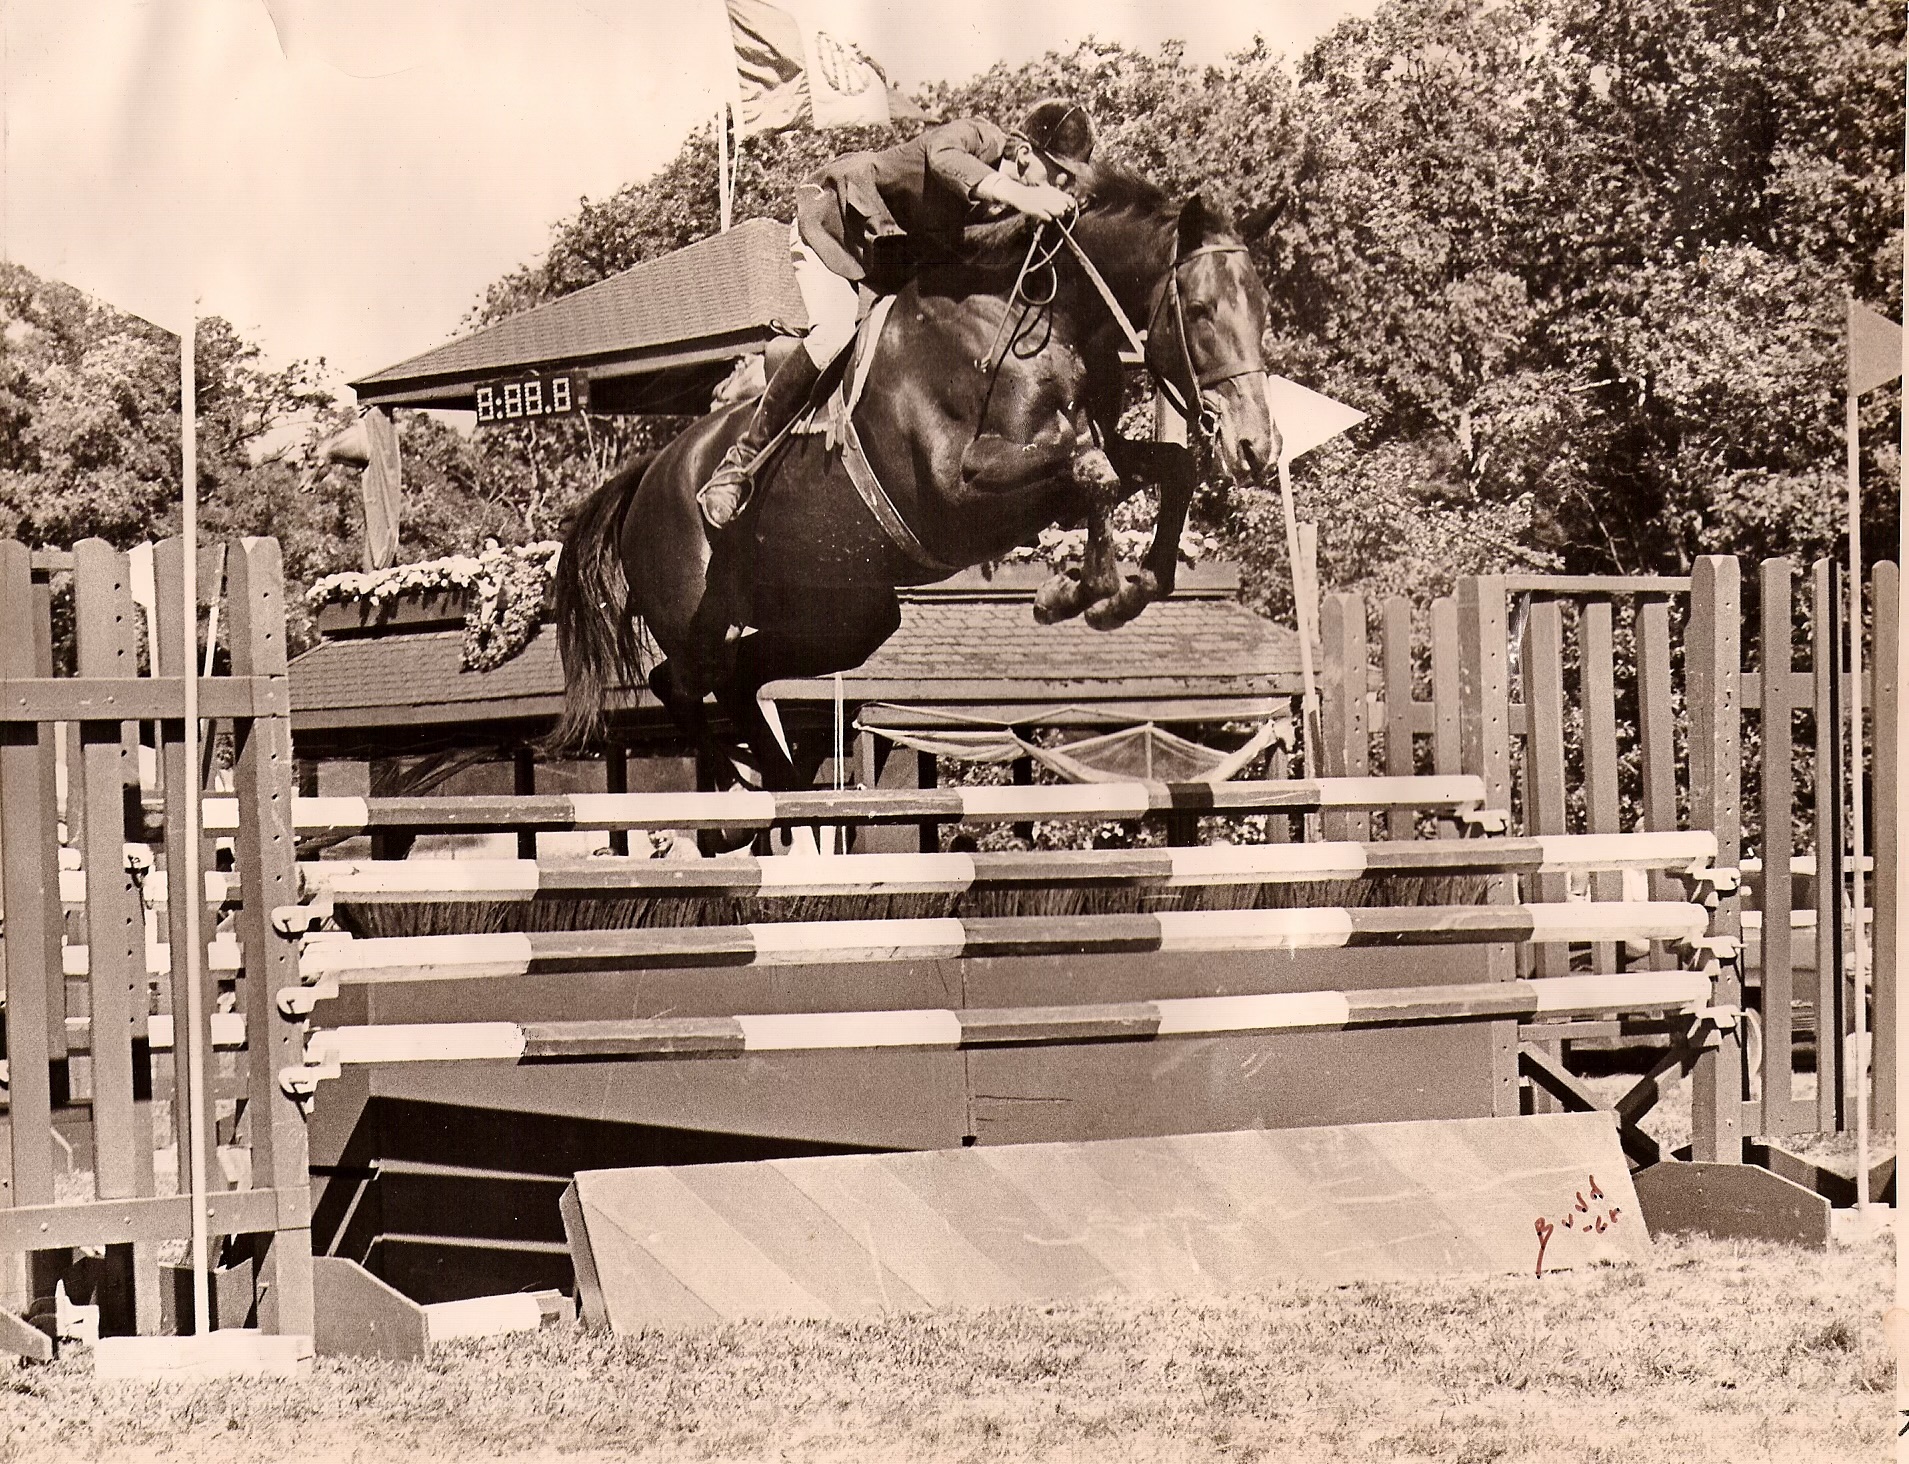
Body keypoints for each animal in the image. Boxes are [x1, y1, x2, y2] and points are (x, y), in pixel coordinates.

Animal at [553, 168, 1282, 813]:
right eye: (1200, 311)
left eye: (1263, 311)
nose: (1256, 447)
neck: (1039, 318)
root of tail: (647, 475)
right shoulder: (959, 490)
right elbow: (1089, 469)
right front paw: (1080, 593)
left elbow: (1158, 468)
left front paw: (1124, 590)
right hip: (697, 616)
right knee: (682, 680)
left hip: (846, 620)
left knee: (740, 674)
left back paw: (785, 783)